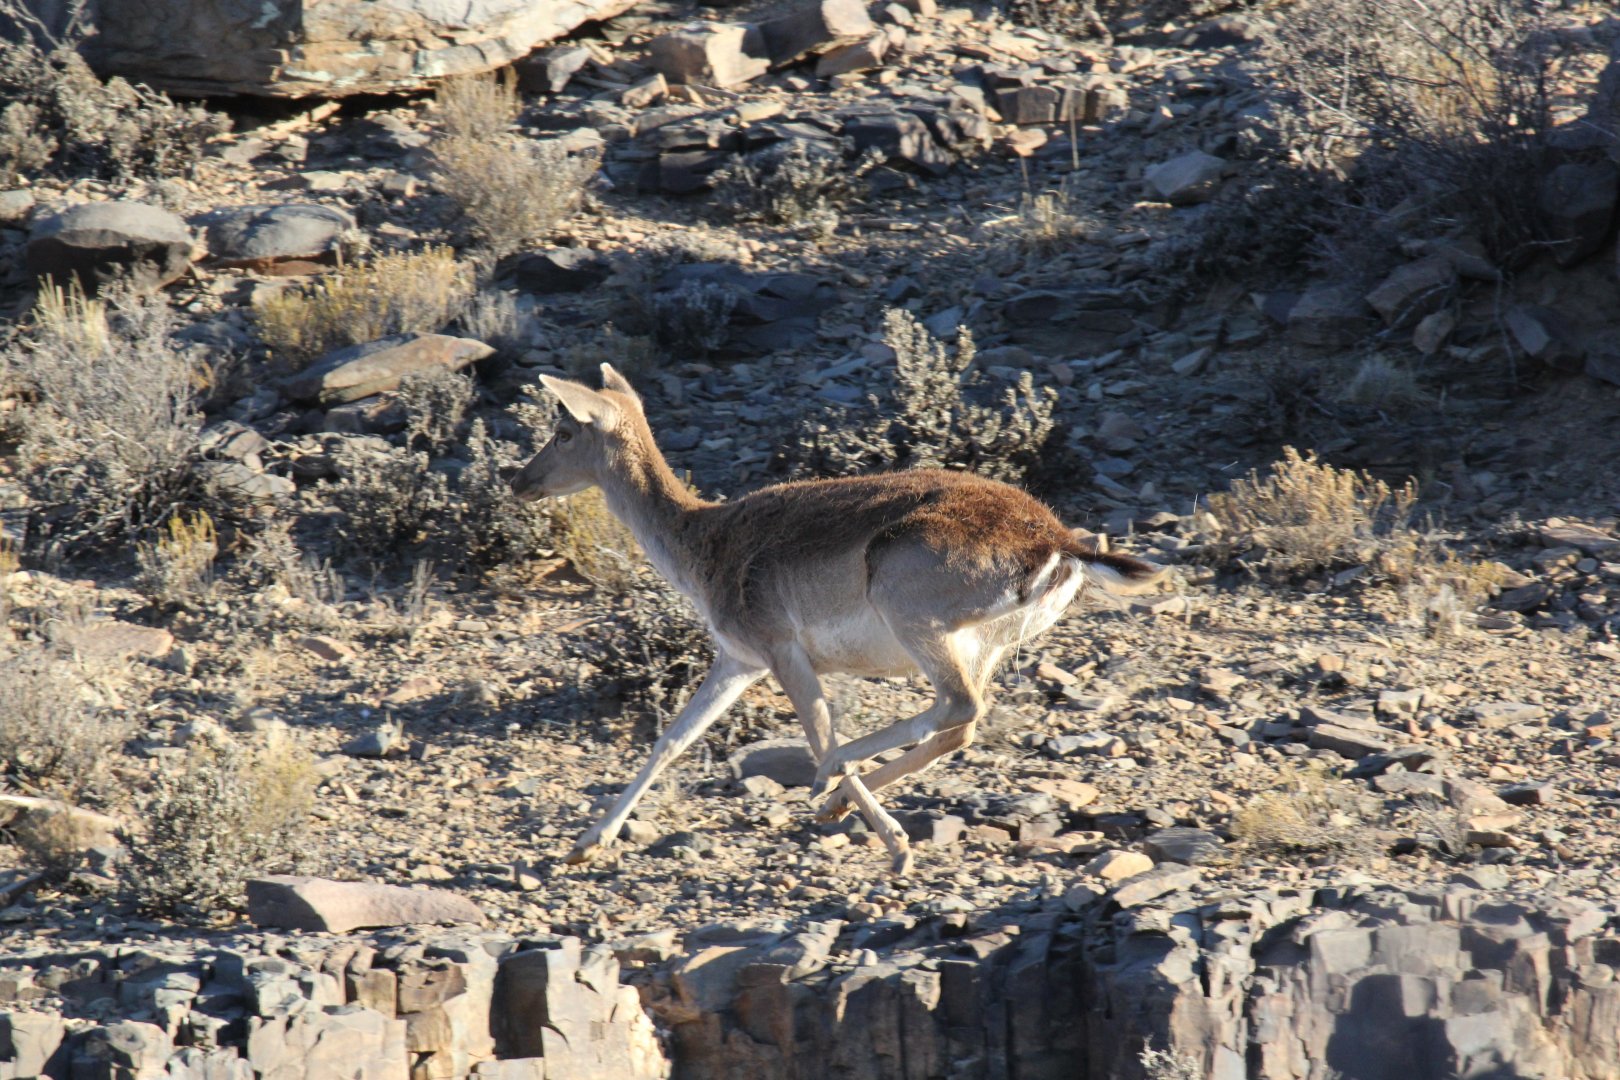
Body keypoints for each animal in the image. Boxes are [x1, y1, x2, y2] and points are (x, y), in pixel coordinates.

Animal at [511, 364, 1163, 874]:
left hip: (916, 618)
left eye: (563, 430)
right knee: (962, 723)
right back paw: (833, 801)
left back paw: (833, 784)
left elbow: (817, 728)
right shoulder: (738, 659)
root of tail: (1059, 543)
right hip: (984, 645)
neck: (703, 541)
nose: (521, 481)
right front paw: (582, 846)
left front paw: (896, 846)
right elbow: (672, 739)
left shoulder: (782, 650)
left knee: (951, 709)